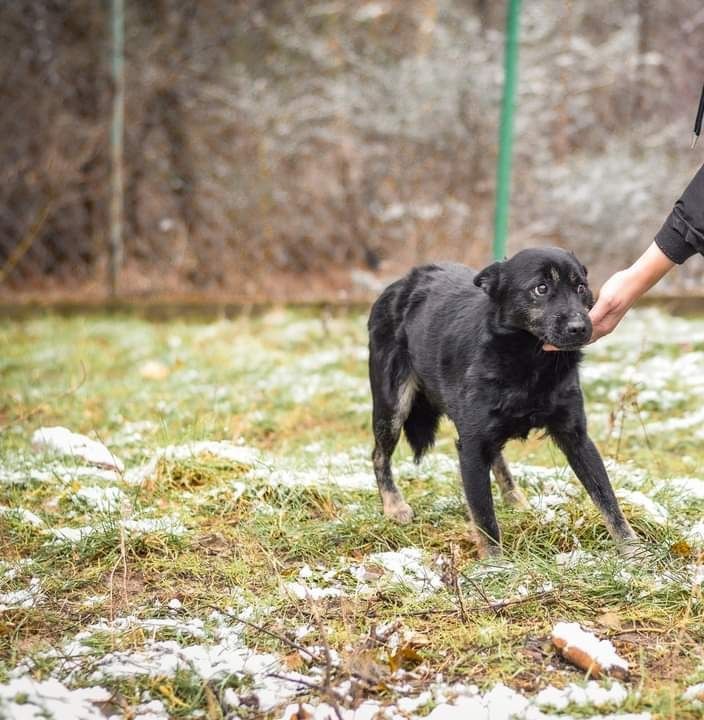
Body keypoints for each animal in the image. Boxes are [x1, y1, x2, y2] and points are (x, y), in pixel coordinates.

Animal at [368, 248, 640, 556]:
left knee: (496, 454)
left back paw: (513, 496)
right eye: (541, 288)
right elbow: (484, 517)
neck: (531, 361)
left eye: (580, 287)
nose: (580, 327)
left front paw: (633, 551)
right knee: (379, 455)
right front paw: (494, 562)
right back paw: (394, 505)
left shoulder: (576, 437)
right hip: (392, 407)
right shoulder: (471, 447)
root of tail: (402, 282)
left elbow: (607, 498)